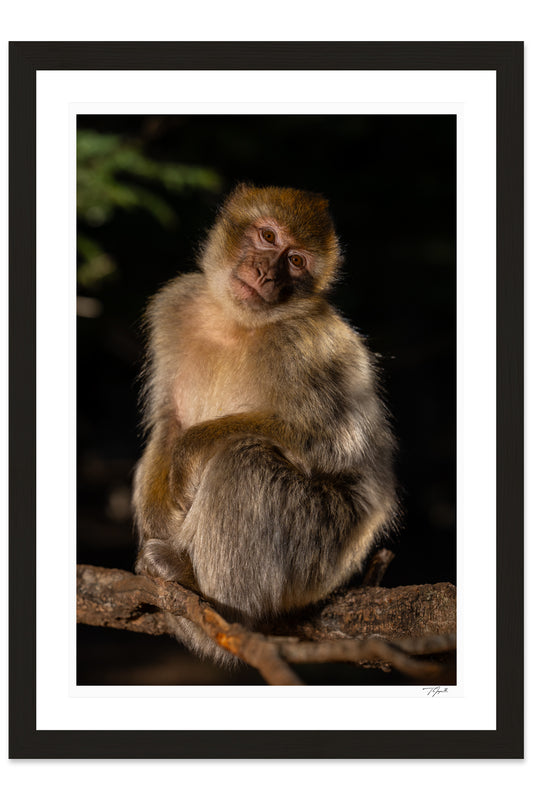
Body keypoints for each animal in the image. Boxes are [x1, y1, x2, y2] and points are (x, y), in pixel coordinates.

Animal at [133, 183, 397, 667]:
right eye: (268, 237)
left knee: (245, 460)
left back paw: (213, 601)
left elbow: (335, 444)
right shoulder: (176, 303)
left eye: (296, 262)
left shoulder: (305, 347)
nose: (266, 272)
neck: (235, 322)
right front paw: (162, 512)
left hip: (322, 547)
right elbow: (168, 420)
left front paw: (191, 451)